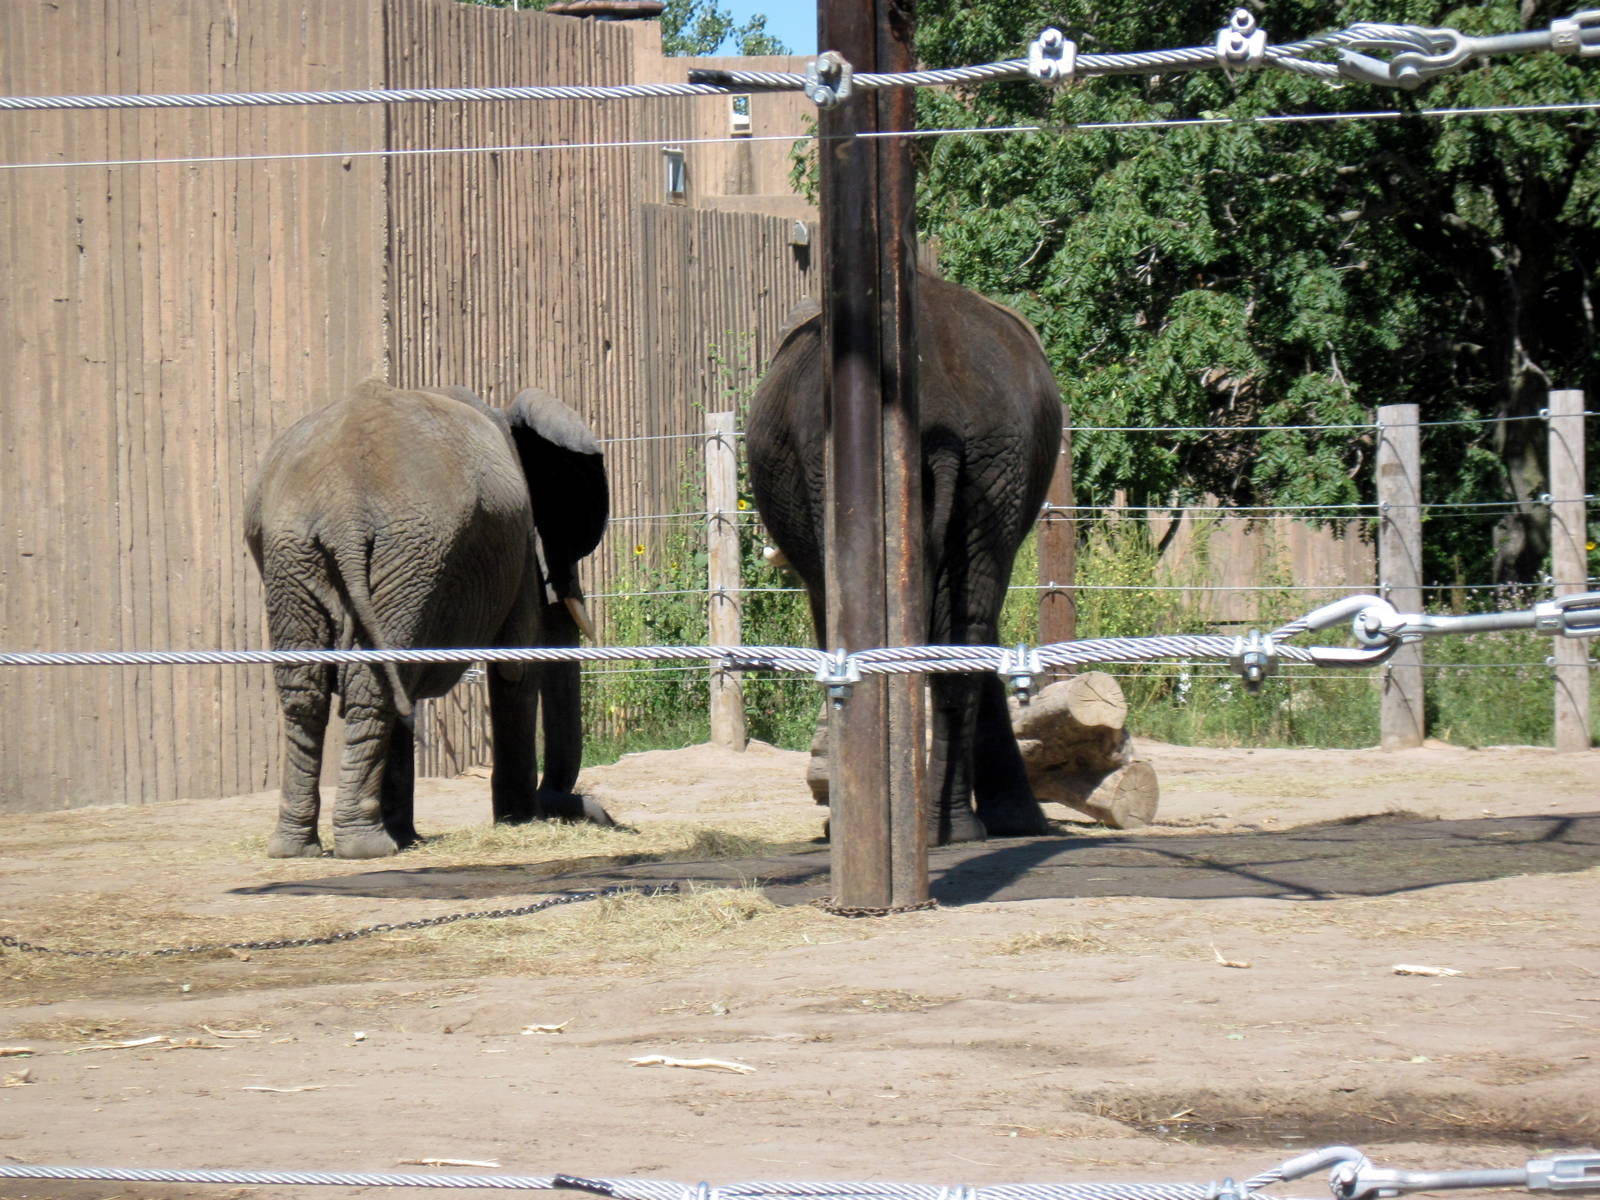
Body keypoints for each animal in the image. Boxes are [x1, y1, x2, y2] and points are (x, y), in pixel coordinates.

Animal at [244, 378, 613, 859]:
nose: (591, 810)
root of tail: (345, 510)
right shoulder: (516, 551)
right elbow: (515, 669)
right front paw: (519, 821)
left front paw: (410, 836)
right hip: (398, 553)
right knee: (373, 686)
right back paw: (366, 847)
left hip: (306, 555)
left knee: (311, 691)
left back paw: (304, 847)